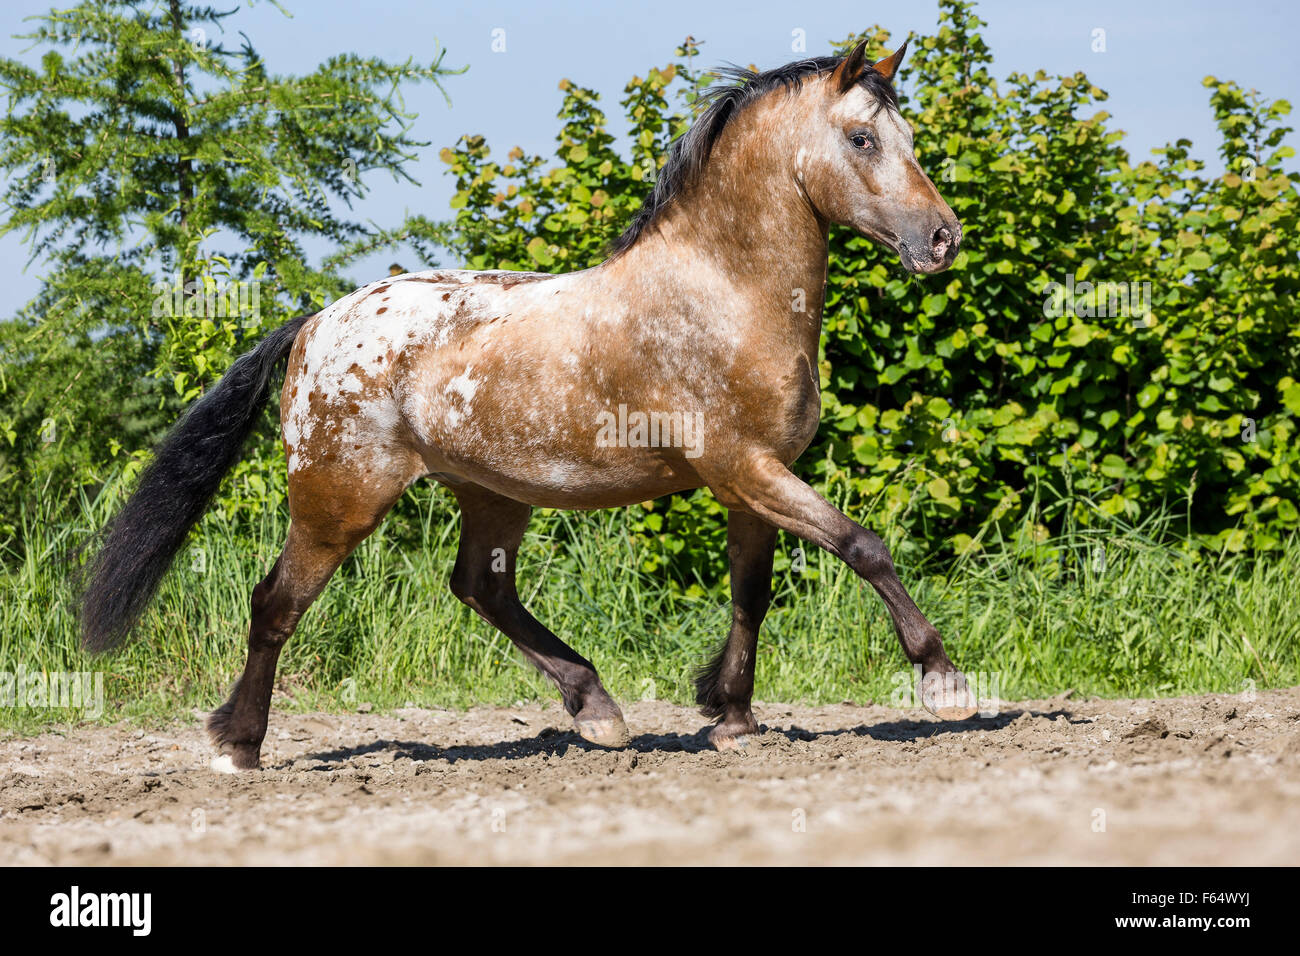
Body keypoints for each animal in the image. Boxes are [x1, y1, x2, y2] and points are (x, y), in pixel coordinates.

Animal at [78, 37, 977, 775]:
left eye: (908, 137)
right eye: (862, 139)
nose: (942, 239)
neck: (721, 295)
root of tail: (315, 324)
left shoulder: (752, 481)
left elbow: (750, 594)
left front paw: (730, 716)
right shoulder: (742, 468)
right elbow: (863, 546)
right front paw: (944, 681)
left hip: (491, 494)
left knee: (480, 587)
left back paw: (598, 711)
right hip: (339, 500)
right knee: (277, 603)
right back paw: (237, 744)